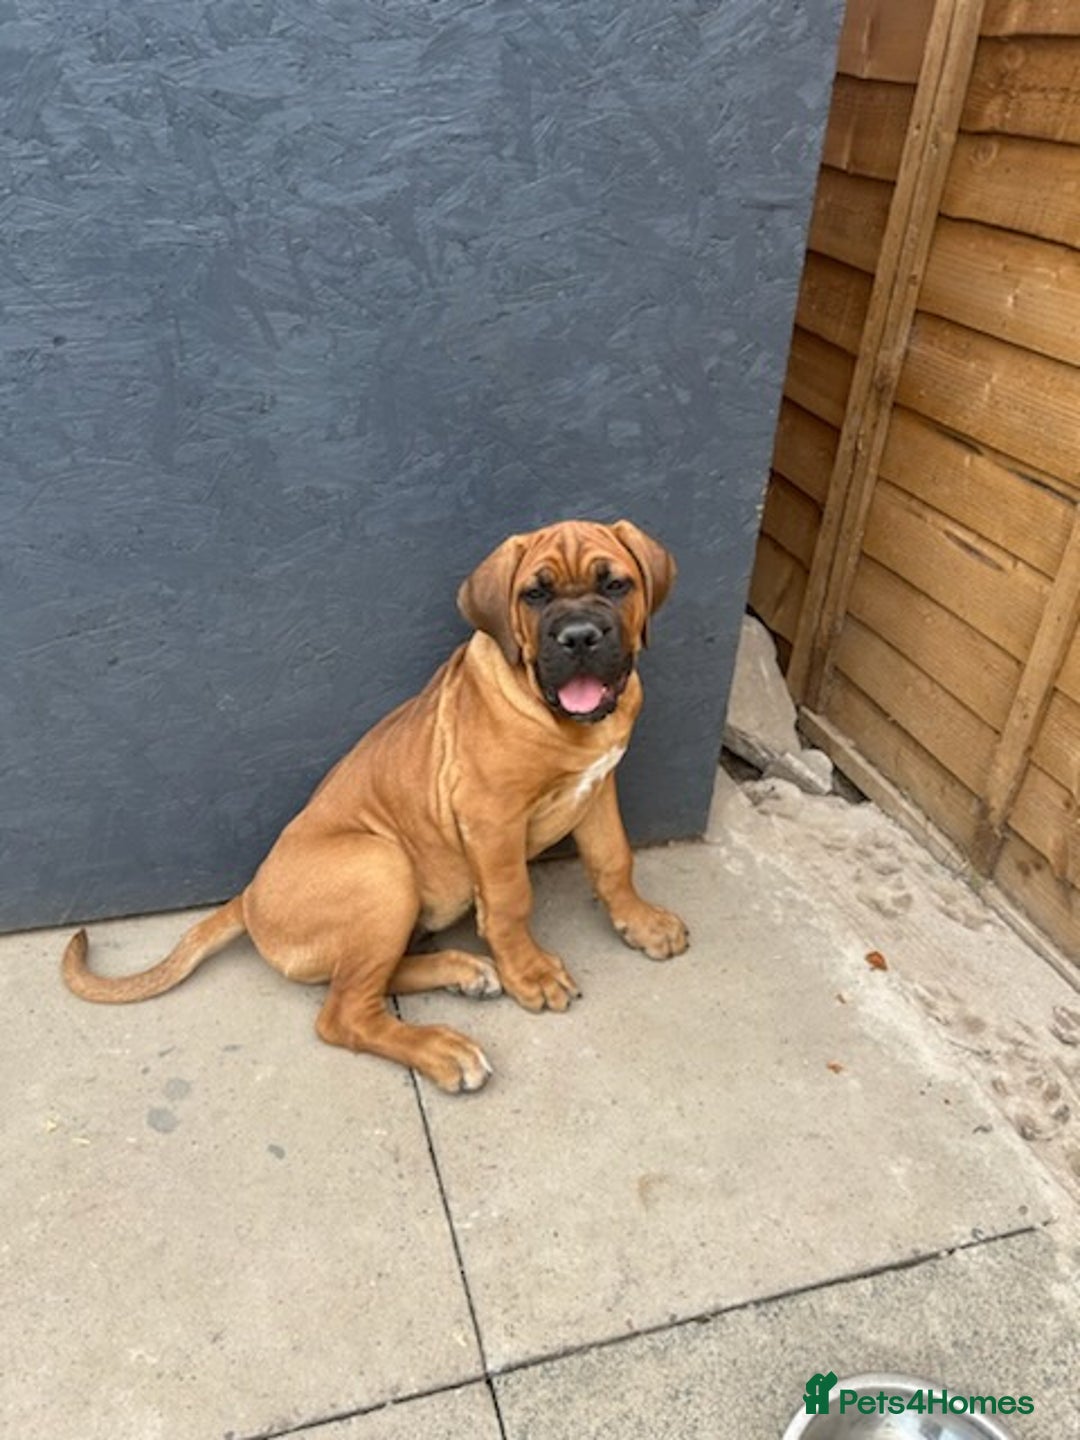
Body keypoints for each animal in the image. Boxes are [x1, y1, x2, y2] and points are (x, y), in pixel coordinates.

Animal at [62, 519, 689, 1092]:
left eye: (616, 585)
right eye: (534, 595)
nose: (579, 637)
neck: (564, 721)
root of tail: (249, 898)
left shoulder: (599, 786)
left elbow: (613, 860)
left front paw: (642, 922)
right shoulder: (491, 816)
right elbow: (512, 900)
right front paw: (529, 972)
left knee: (367, 983)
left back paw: (462, 971)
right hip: (381, 866)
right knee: (343, 1014)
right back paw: (443, 1048)